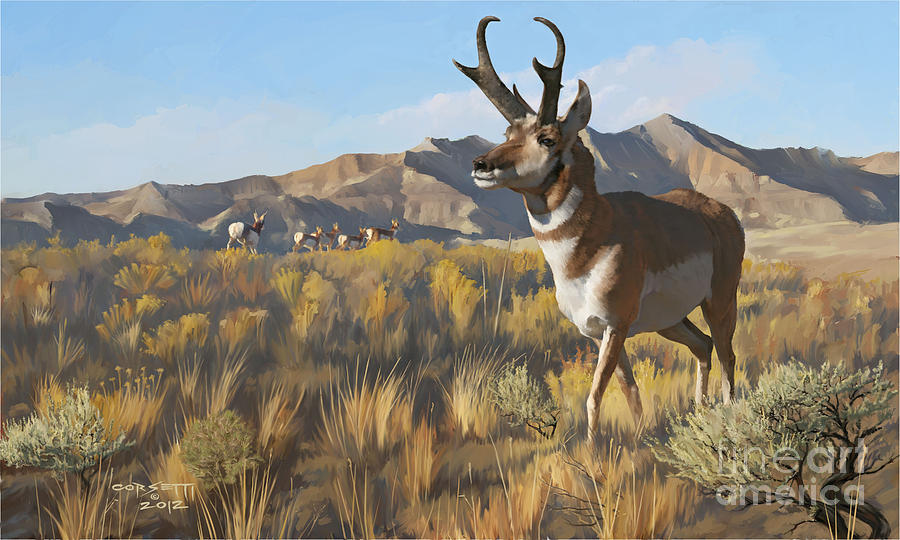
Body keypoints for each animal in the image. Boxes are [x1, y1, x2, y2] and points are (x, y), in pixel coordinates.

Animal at [455, 16, 745, 440]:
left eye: (547, 139)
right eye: (508, 135)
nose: (480, 164)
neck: (587, 247)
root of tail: (721, 212)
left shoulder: (616, 326)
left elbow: (594, 398)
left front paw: (594, 454)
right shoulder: (596, 332)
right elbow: (631, 394)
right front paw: (637, 441)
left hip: (719, 301)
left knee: (727, 355)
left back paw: (725, 418)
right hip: (671, 320)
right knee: (702, 346)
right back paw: (698, 412)